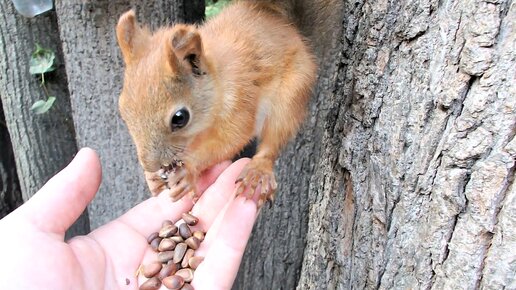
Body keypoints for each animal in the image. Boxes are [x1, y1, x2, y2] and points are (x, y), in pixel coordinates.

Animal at [117, 2, 316, 206]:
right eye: (122, 109)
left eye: (180, 118)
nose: (151, 165)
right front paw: (153, 178)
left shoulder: (240, 100)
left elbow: (230, 140)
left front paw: (187, 170)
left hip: (291, 95)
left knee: (274, 139)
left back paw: (258, 171)